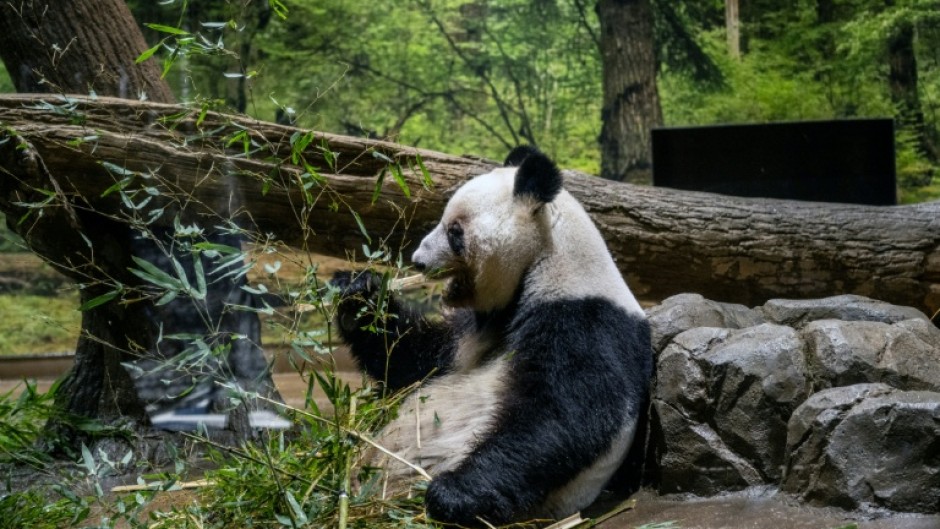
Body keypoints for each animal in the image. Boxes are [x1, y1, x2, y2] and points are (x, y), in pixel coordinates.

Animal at [332, 146, 652, 527]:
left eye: (455, 230)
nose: (418, 260)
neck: (545, 261)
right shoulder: (474, 330)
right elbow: (415, 362)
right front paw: (358, 294)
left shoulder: (585, 320)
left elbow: (566, 416)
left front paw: (452, 494)